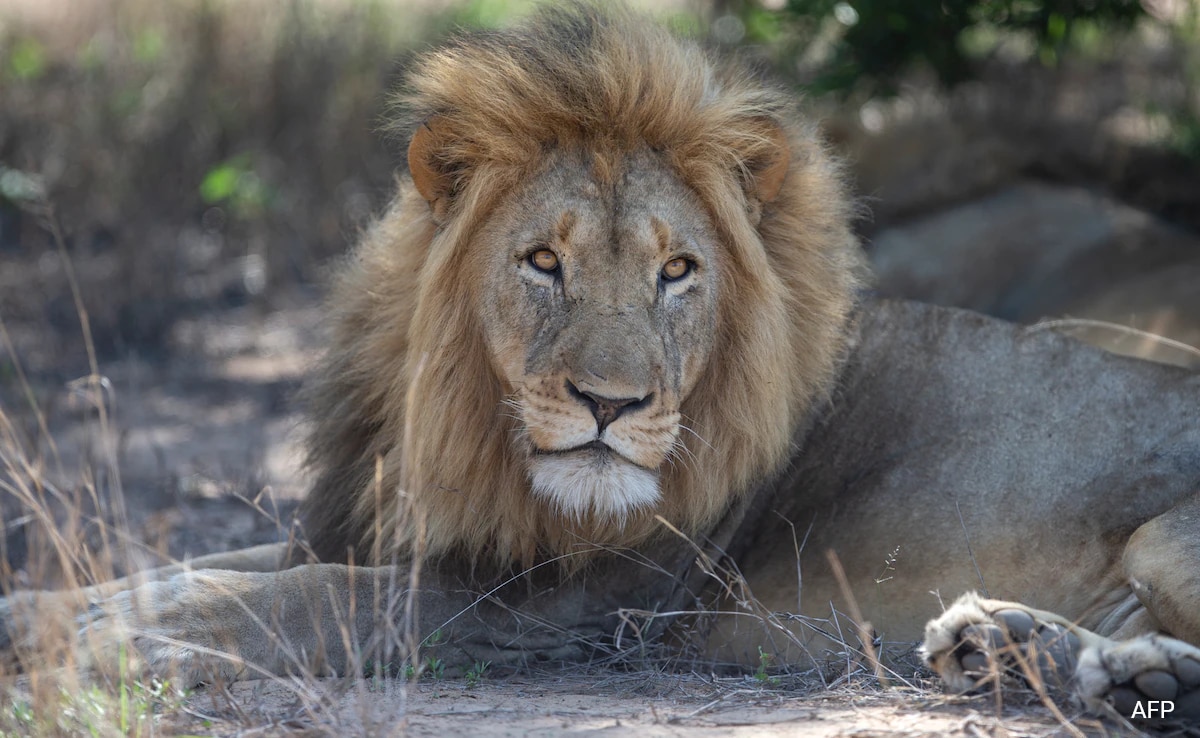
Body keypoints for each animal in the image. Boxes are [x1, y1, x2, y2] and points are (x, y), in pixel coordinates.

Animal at [2, 1, 1200, 729]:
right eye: (544, 262)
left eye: (678, 271)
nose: (610, 406)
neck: (462, 427)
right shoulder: (381, 526)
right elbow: (205, 567)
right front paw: (48, 614)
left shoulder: (564, 609)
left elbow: (302, 601)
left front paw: (127, 649)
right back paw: (1018, 647)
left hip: (1164, 534)